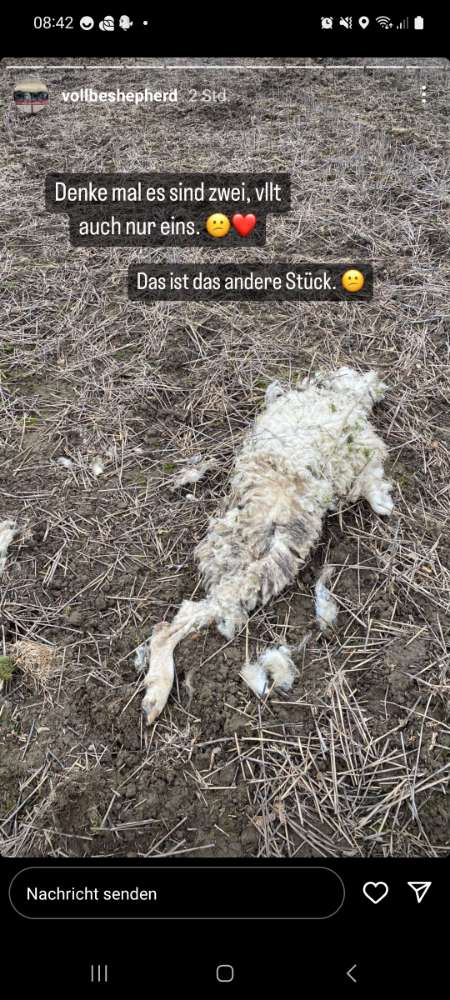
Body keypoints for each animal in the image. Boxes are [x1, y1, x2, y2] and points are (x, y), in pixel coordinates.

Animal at [135, 367, 394, 724]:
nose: (377, 382)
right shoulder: (361, 446)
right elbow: (372, 474)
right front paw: (383, 501)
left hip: (256, 561)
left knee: (196, 611)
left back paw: (155, 691)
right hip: (269, 560)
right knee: (178, 622)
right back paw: (155, 697)